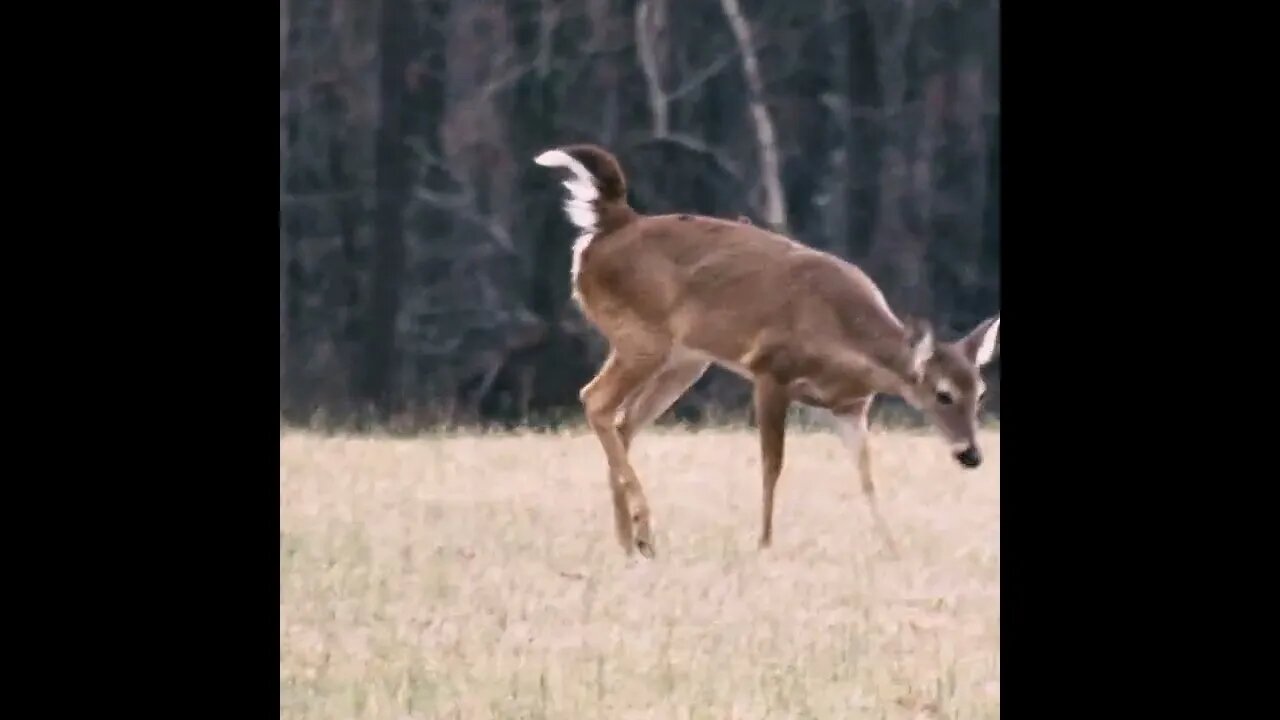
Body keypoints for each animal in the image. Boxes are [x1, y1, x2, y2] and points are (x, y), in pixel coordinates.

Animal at [533, 143, 1000, 559]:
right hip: (642, 336)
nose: (971, 455)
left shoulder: (850, 406)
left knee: (623, 422)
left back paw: (633, 544)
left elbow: (867, 475)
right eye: (942, 394)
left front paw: (892, 547)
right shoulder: (771, 370)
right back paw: (642, 530)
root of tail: (614, 222)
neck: (844, 342)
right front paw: (765, 544)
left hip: (685, 359)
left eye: (980, 393)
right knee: (595, 400)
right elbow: (772, 464)